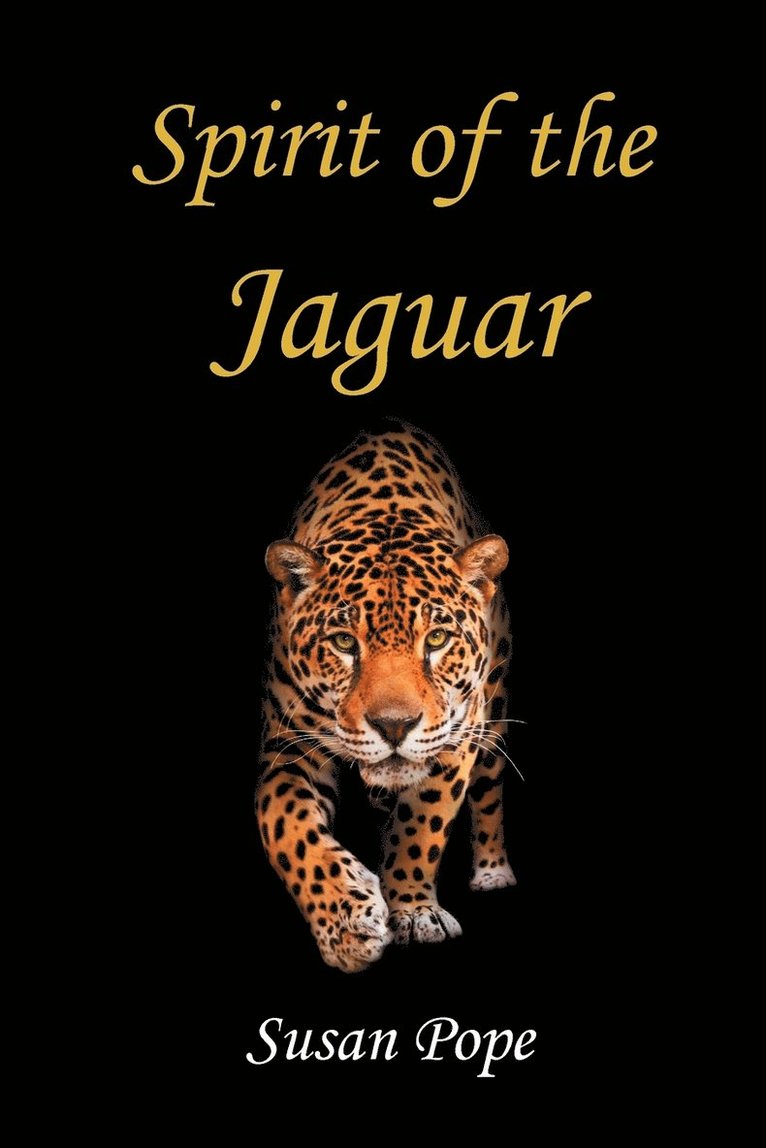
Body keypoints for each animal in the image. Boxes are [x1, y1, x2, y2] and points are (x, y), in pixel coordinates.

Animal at [256, 419, 517, 972]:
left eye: (436, 639)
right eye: (343, 642)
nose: (394, 726)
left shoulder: (457, 736)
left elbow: (421, 825)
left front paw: (413, 912)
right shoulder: (287, 746)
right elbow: (287, 827)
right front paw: (347, 925)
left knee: (489, 789)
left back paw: (492, 871)